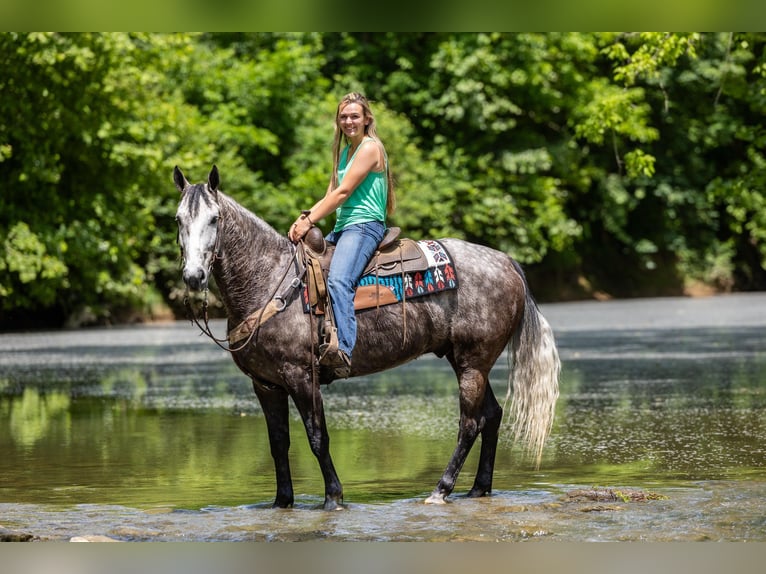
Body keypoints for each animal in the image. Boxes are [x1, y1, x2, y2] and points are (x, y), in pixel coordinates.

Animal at [174, 165, 560, 510]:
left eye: (214, 219)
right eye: (178, 220)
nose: (193, 276)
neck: (269, 280)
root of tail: (507, 261)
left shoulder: (301, 377)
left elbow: (317, 437)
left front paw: (333, 497)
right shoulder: (266, 385)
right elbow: (278, 443)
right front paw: (282, 501)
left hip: (472, 364)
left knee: (470, 423)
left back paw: (441, 490)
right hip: (466, 360)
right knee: (492, 415)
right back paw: (479, 488)